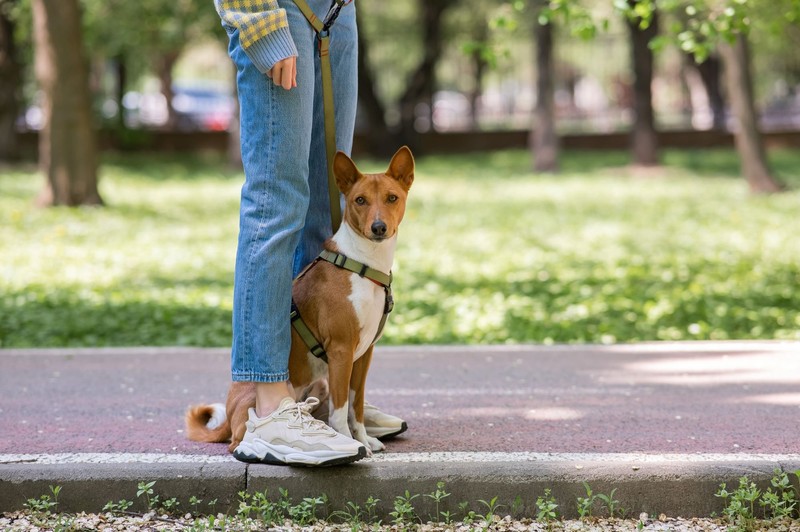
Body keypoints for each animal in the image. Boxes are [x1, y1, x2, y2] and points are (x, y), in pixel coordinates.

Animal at [185, 147, 416, 458]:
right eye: (360, 200)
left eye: (392, 197)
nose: (378, 227)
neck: (362, 264)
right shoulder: (341, 351)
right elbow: (340, 412)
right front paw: (352, 443)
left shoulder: (364, 354)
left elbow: (355, 407)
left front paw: (365, 440)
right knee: (236, 440)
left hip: (318, 384)